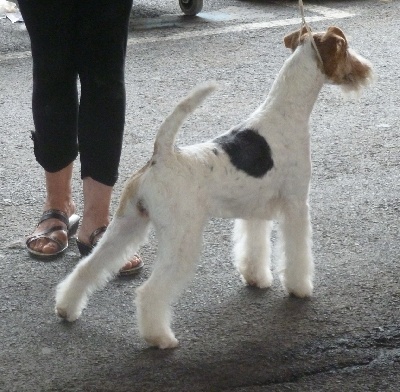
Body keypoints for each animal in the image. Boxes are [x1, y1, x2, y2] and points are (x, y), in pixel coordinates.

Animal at [54, 26, 374, 348]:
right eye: (345, 49)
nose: (366, 70)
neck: (285, 112)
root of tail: (161, 156)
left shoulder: (255, 210)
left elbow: (254, 247)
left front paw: (256, 278)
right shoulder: (296, 204)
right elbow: (297, 252)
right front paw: (300, 288)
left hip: (126, 224)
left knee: (88, 267)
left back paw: (67, 308)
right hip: (182, 237)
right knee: (150, 292)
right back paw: (161, 337)